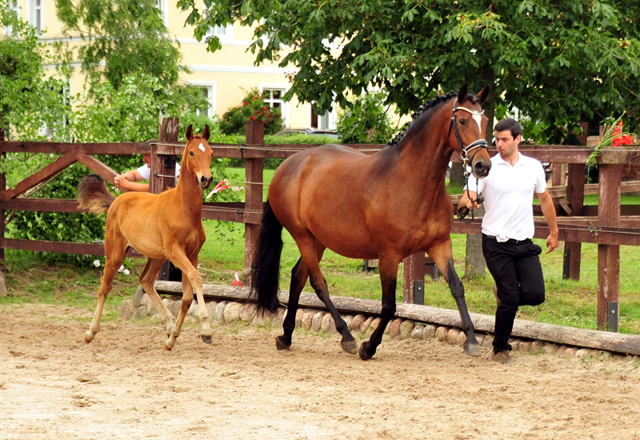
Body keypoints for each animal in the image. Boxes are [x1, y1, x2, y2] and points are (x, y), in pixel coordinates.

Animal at [79, 124, 214, 350]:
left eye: (211, 152)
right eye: (192, 153)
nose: (206, 178)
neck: (184, 209)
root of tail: (116, 201)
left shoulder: (192, 254)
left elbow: (187, 297)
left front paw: (172, 338)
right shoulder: (175, 251)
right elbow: (196, 278)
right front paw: (206, 330)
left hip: (157, 256)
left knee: (146, 280)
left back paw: (169, 325)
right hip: (116, 253)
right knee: (104, 287)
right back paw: (90, 332)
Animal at [252, 84, 492, 360]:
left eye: (485, 121)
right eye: (462, 121)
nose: (483, 165)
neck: (412, 181)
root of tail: (288, 165)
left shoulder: (439, 245)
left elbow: (456, 287)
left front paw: (471, 340)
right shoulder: (389, 254)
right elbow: (389, 306)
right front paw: (369, 346)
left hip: (318, 239)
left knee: (298, 277)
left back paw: (286, 335)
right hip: (302, 236)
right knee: (317, 283)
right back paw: (346, 336)